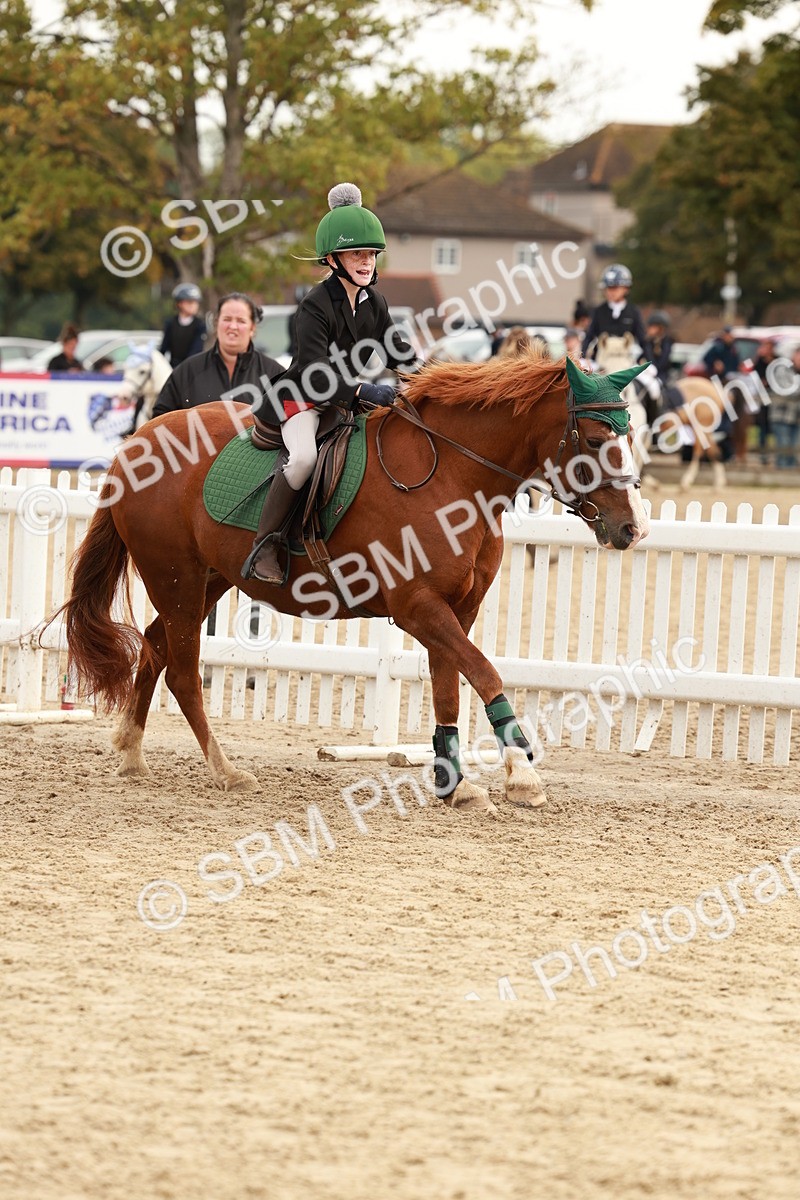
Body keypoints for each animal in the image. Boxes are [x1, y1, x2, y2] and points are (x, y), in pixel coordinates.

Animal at [56, 349, 649, 817]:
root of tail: (137, 441)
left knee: (154, 646)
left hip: (207, 583)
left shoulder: (456, 611)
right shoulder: (417, 607)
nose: (631, 528)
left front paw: (454, 783)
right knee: (180, 671)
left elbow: (448, 690)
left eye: (630, 435)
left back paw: (131, 752)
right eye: (594, 437)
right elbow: (483, 673)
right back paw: (224, 770)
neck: (456, 476)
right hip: (175, 579)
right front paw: (521, 774)